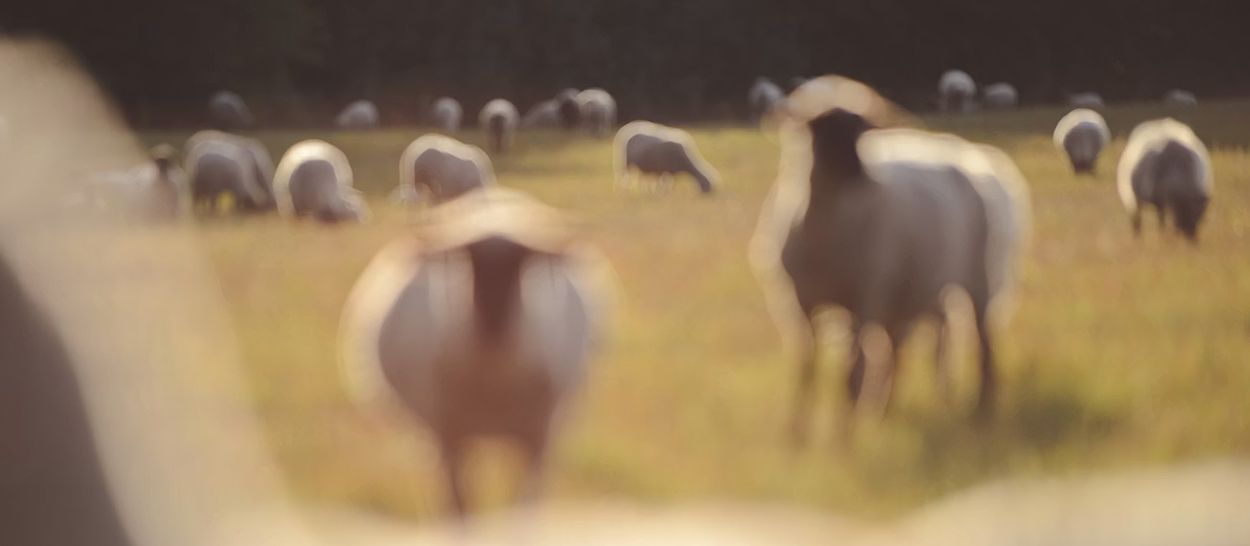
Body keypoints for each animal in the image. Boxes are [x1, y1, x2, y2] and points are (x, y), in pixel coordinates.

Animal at [339, 186, 611, 517]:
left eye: (521, 264)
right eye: (468, 262)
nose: (491, 325)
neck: (492, 375)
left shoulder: (537, 439)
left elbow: (523, 510)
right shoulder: (449, 438)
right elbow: (460, 509)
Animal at [750, 76, 1030, 442]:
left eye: (860, 131)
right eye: (821, 128)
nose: (861, 174)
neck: (829, 227)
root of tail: (973, 157)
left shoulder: (865, 299)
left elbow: (850, 370)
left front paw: (844, 432)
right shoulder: (802, 303)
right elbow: (807, 366)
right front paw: (796, 433)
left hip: (978, 281)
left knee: (983, 343)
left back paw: (982, 409)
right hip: (913, 293)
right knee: (899, 351)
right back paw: (888, 411)